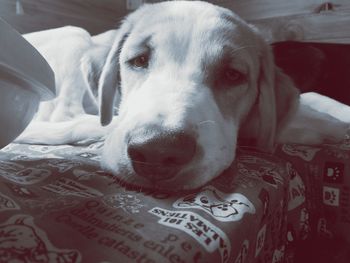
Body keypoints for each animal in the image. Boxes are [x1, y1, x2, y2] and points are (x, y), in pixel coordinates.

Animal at [17, 1, 350, 193]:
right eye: (138, 60)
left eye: (233, 75)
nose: (157, 152)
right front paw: (320, 127)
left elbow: (310, 98)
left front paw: (333, 114)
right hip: (75, 37)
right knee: (69, 116)